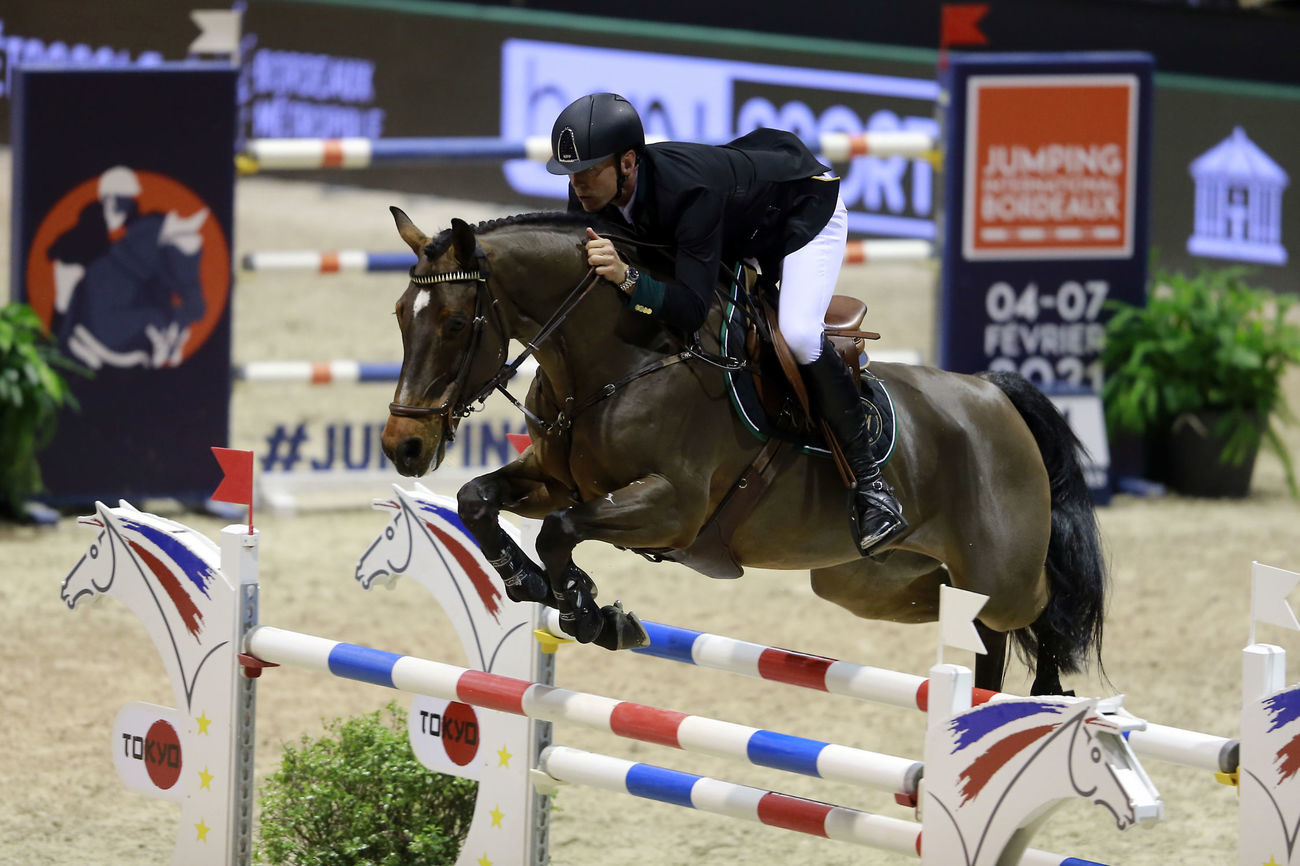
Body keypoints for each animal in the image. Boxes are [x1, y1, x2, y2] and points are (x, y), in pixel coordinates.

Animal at [379, 209, 1107, 696]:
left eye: (455, 323)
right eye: (398, 315)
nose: (403, 446)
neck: (623, 358)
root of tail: (993, 394)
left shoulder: (671, 507)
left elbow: (560, 531)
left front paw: (588, 608)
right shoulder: (559, 480)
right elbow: (478, 499)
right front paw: (533, 584)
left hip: (1000, 572)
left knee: (1044, 605)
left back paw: (1050, 695)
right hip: (871, 582)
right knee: (976, 629)